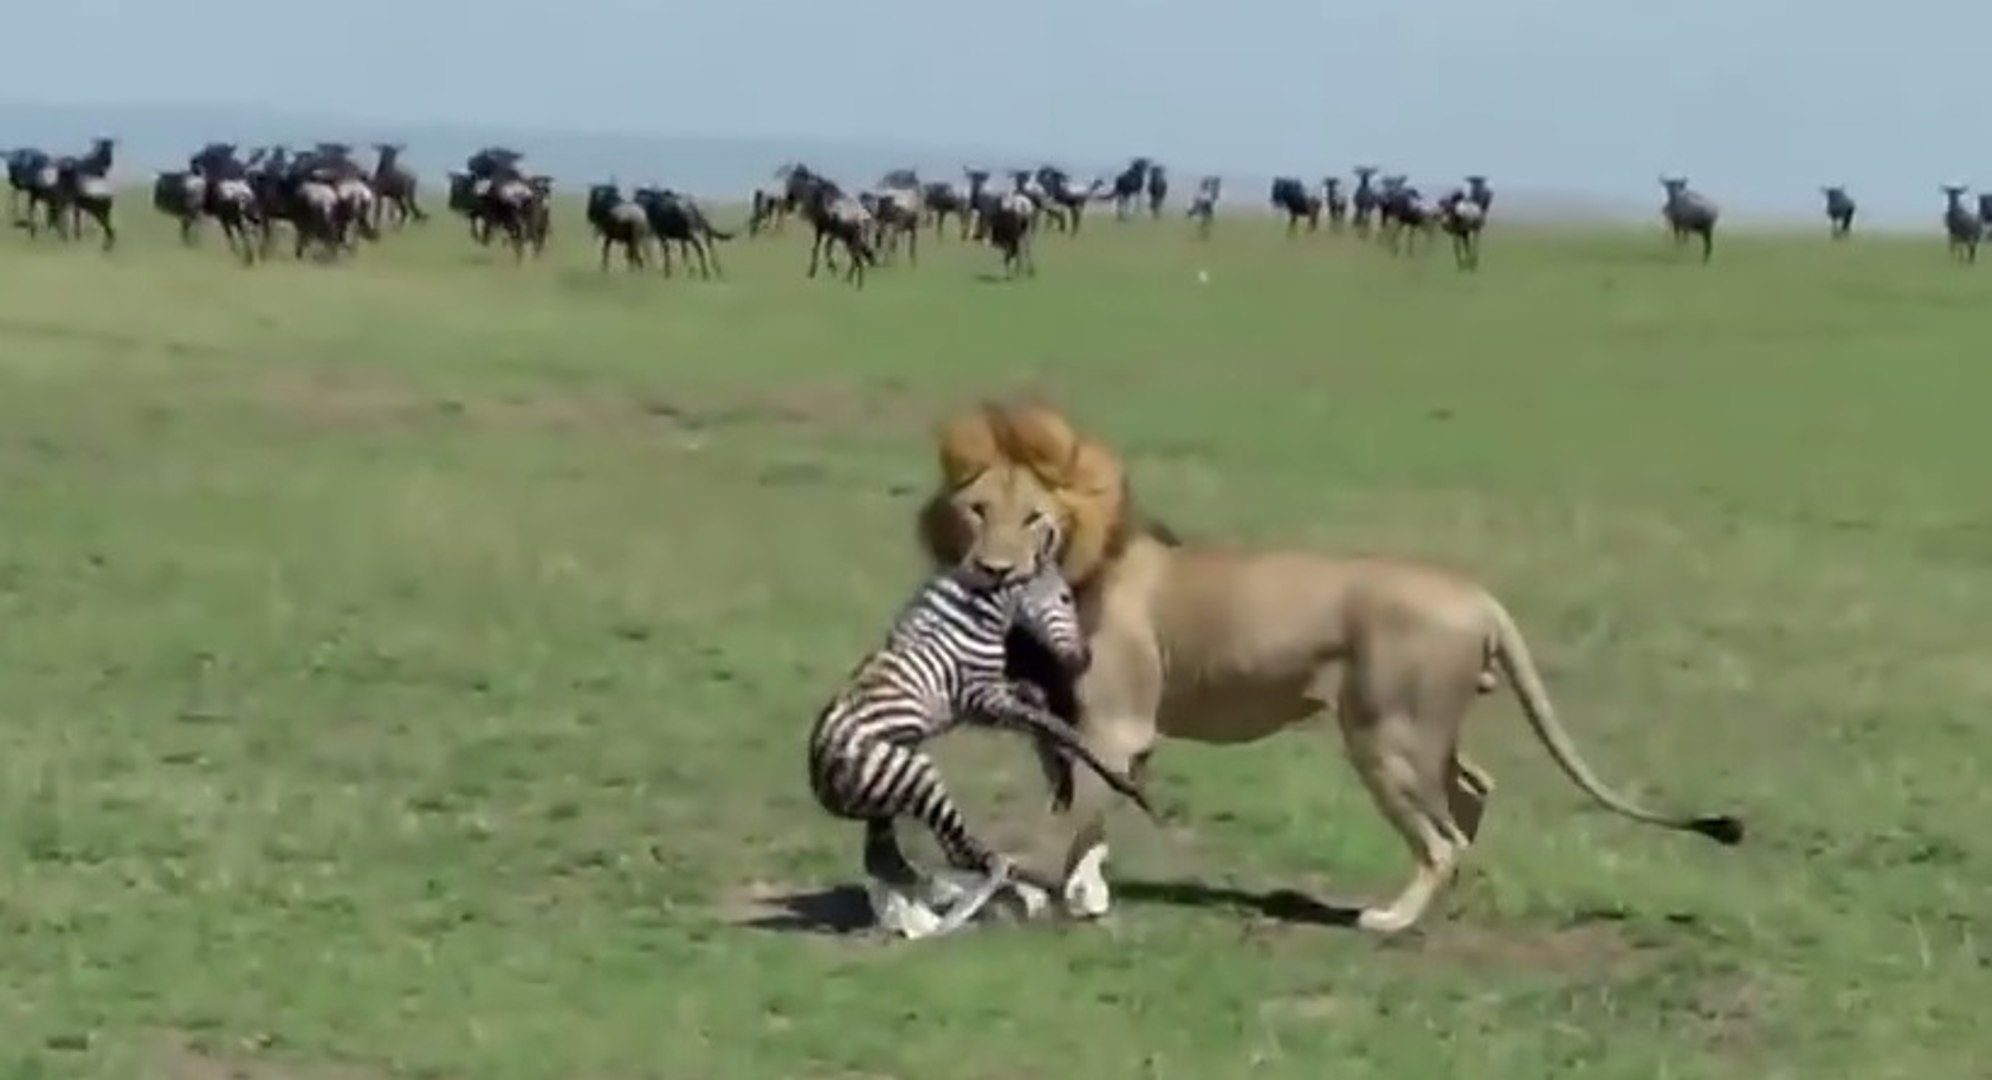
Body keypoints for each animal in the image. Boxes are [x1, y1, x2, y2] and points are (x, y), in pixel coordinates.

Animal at [806, 563, 1155, 939]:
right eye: (1065, 598)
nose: (1085, 658)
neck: (973, 625)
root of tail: (819, 780)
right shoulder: (985, 699)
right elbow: (1057, 725)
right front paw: (1126, 785)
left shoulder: (985, 704)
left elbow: (1039, 706)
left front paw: (1065, 773)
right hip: (916, 775)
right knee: (962, 855)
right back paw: (989, 904)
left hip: (885, 804)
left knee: (901, 863)